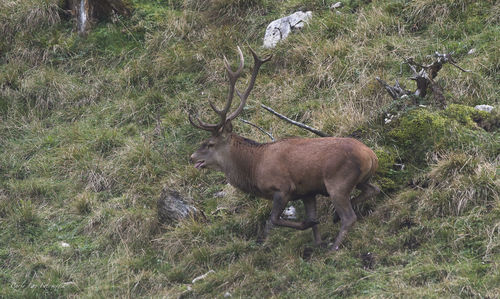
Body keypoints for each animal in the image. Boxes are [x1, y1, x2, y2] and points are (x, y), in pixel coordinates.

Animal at [188, 47, 378, 251]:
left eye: (210, 143)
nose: (192, 157)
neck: (254, 167)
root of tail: (371, 156)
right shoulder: (307, 192)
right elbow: (312, 223)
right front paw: (316, 236)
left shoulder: (282, 188)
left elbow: (273, 219)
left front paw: (308, 226)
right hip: (359, 180)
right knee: (373, 189)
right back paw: (334, 219)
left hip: (338, 182)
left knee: (350, 217)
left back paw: (334, 246)